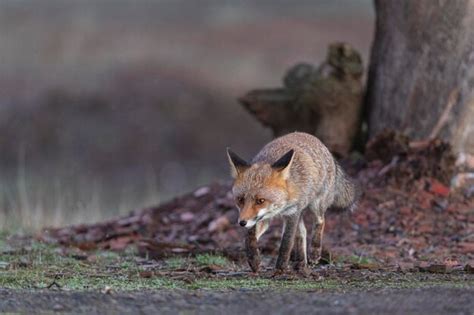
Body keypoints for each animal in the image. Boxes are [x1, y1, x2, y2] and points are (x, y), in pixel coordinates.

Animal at [228, 132, 358, 272]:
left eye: (260, 201)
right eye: (240, 199)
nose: (242, 223)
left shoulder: (292, 213)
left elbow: (286, 242)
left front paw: (280, 268)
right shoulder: (264, 218)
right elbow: (249, 237)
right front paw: (254, 260)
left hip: (316, 204)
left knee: (320, 221)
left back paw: (314, 252)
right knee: (302, 233)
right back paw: (301, 263)